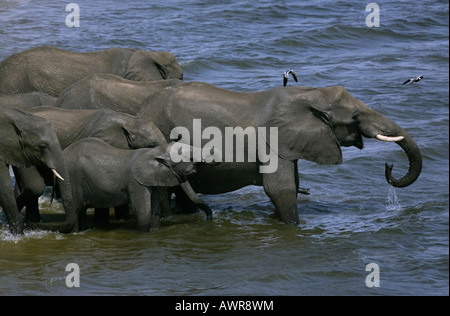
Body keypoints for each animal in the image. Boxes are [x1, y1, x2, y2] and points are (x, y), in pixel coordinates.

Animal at [62, 138, 214, 232]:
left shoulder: (149, 181)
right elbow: (143, 211)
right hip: (73, 177)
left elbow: (154, 211)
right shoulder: (136, 183)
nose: (208, 218)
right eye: (190, 158)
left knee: (81, 211)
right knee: (76, 210)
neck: (154, 152)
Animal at [137, 81, 422, 225]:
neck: (308, 96)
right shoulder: (272, 143)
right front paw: (293, 226)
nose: (389, 166)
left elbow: (291, 185)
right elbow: (280, 189)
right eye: (354, 117)